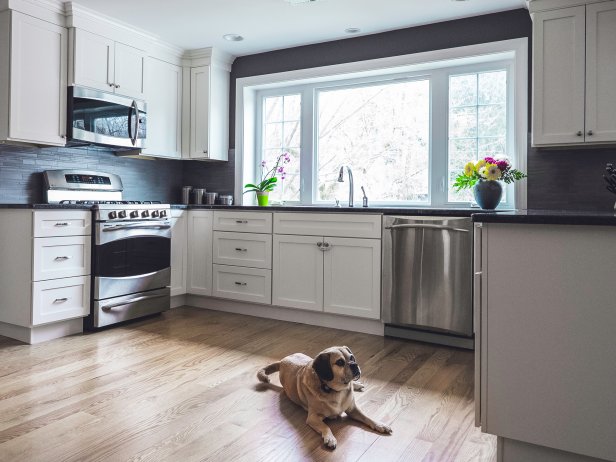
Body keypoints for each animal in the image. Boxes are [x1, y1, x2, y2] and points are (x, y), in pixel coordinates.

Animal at [256, 346, 392, 448]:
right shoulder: (313, 418)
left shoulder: (353, 409)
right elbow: (325, 427)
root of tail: (282, 361)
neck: (336, 390)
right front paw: (330, 438)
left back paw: (357, 385)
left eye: (352, 357)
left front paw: (380, 425)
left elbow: (367, 417)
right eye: (340, 362)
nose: (355, 364)